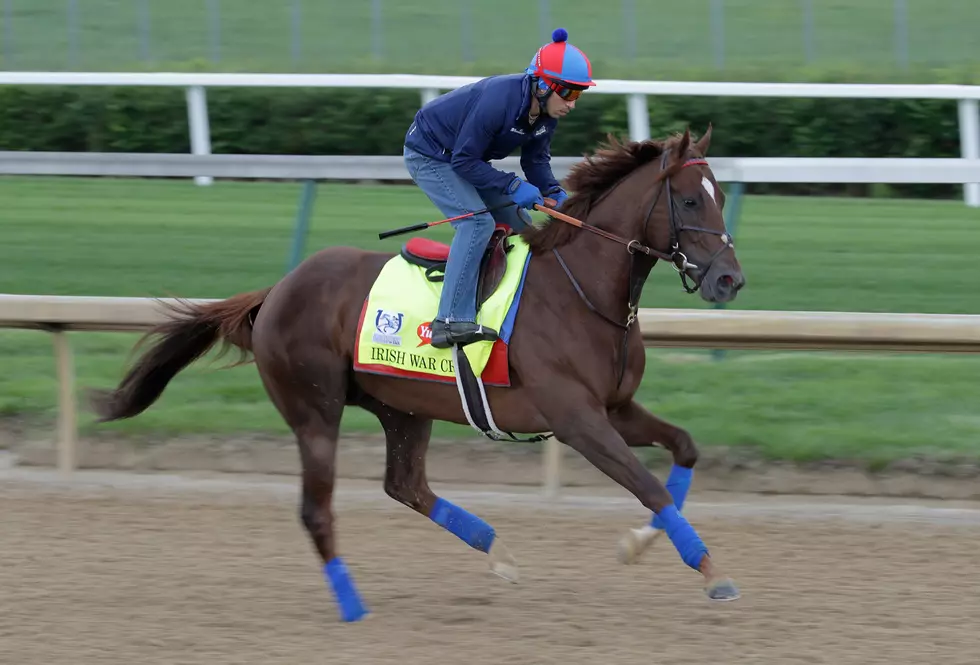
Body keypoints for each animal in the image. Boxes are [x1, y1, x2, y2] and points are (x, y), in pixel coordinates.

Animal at [94, 126, 752, 624]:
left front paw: (641, 544)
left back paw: (498, 551)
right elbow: (650, 486)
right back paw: (353, 605)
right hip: (314, 410)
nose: (729, 280)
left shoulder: (615, 408)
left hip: (402, 407)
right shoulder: (576, 419)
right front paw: (712, 572)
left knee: (406, 485)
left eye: (720, 196)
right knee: (317, 509)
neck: (580, 291)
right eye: (689, 201)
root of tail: (276, 291)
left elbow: (684, 452)